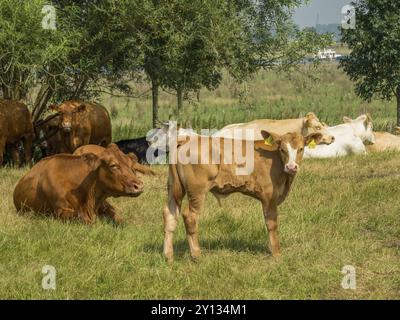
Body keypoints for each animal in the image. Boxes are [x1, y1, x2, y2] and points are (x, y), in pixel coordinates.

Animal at [13, 144, 144, 224]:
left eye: (131, 165)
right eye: (113, 165)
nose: (139, 186)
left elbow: (119, 218)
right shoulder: (61, 211)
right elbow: (82, 218)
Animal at [162, 131, 322, 262]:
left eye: (301, 149)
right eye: (283, 149)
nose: (291, 167)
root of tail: (188, 139)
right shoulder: (269, 196)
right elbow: (271, 223)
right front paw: (276, 253)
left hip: (174, 188)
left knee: (170, 214)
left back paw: (168, 256)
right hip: (197, 191)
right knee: (190, 217)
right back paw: (196, 255)